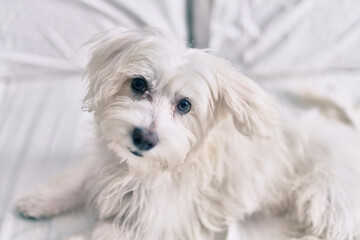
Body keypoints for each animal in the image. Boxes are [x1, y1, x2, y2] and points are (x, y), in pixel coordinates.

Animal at [15, 27, 360, 239]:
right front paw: (37, 200)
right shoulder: (101, 166)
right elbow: (76, 180)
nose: (144, 138)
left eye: (184, 105)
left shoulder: (150, 224)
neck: (139, 170)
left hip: (327, 197)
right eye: (138, 84)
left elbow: (96, 234)